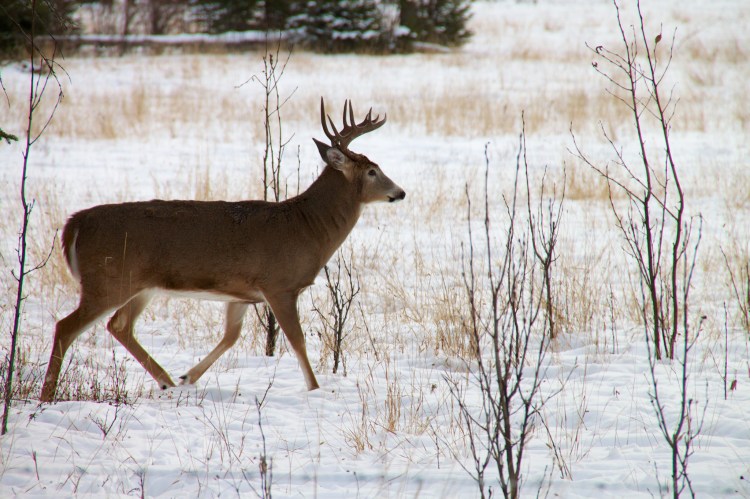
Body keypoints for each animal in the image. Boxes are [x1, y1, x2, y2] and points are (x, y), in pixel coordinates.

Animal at [40, 98, 405, 403]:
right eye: (372, 171)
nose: (400, 192)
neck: (307, 228)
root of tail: (74, 224)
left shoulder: (241, 293)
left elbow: (231, 335)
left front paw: (189, 376)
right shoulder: (279, 285)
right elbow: (297, 339)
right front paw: (315, 389)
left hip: (140, 286)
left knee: (119, 326)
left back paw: (167, 381)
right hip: (107, 280)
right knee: (67, 327)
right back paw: (47, 395)